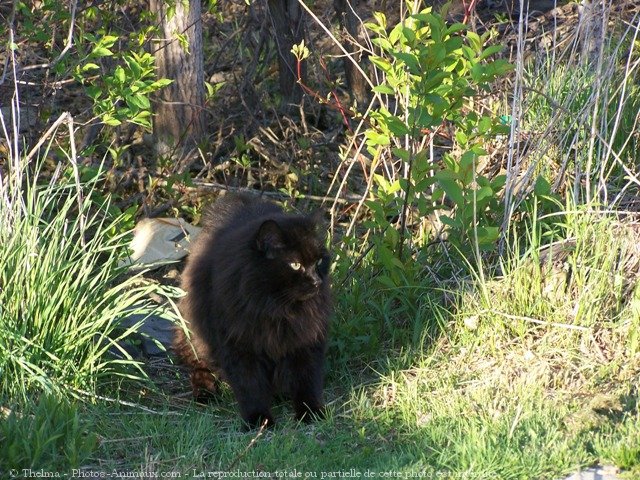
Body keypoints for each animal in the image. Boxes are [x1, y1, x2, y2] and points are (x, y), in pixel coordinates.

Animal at [175, 193, 332, 430]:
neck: (277, 309)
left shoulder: (306, 341)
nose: (316, 281)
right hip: (195, 335)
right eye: (295, 264)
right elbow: (250, 387)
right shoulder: (238, 346)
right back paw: (205, 393)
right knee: (199, 366)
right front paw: (259, 420)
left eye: (319, 261)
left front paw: (311, 413)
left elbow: (307, 381)